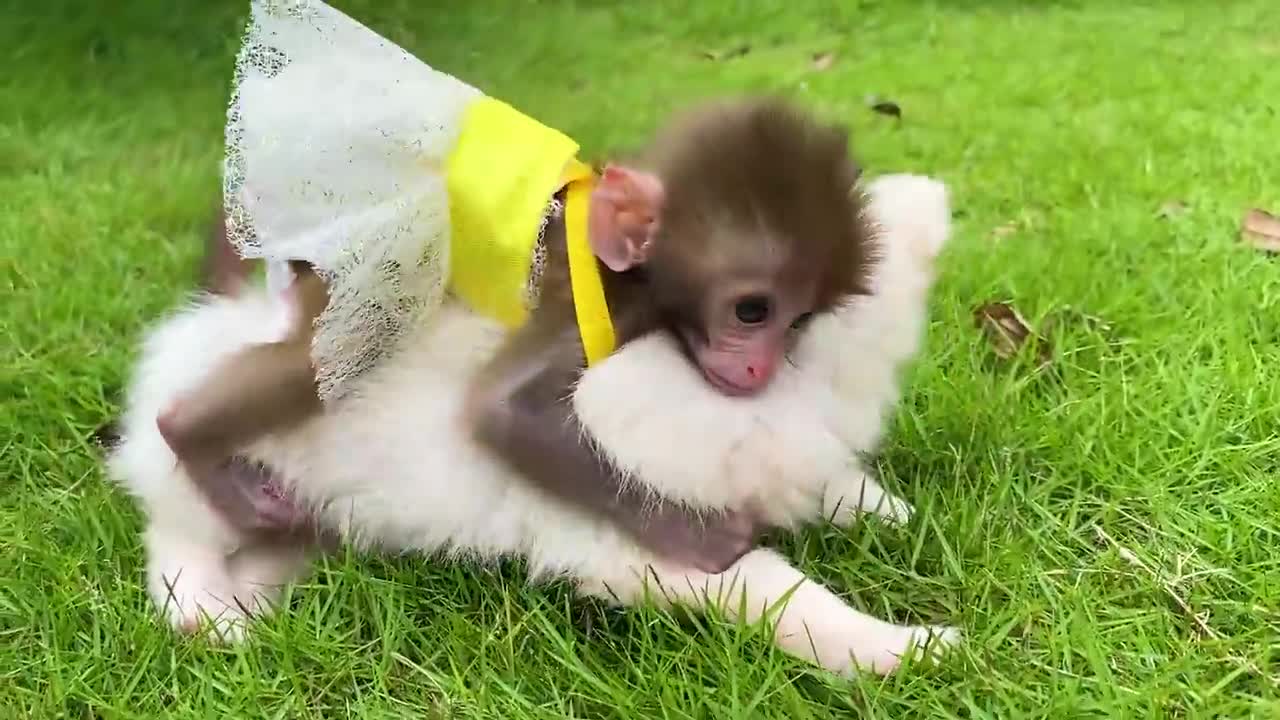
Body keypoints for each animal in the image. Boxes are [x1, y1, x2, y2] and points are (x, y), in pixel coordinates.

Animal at [107, 172, 952, 671]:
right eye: (751, 315)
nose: (756, 375)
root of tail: (212, 323)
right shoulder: (645, 545)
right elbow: (789, 595)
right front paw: (908, 650)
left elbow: (837, 488)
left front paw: (891, 514)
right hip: (216, 488)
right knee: (174, 541)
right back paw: (209, 618)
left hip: (316, 520)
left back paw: (253, 609)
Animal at [160, 95, 875, 568]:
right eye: (751, 311)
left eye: (798, 321)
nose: (762, 367)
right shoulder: (598, 305)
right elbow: (502, 411)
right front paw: (700, 536)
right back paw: (185, 435)